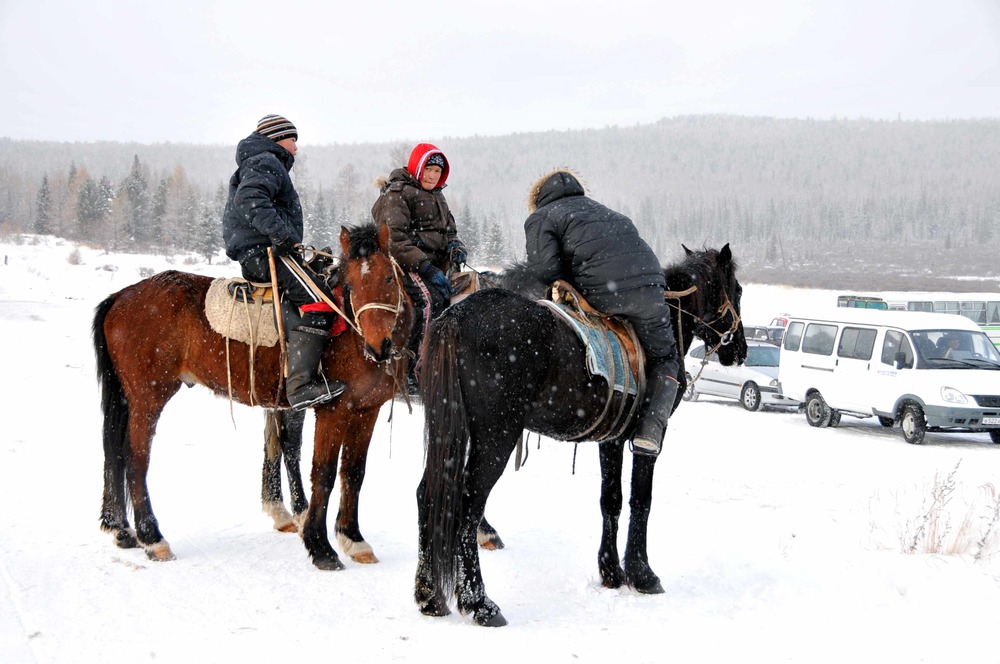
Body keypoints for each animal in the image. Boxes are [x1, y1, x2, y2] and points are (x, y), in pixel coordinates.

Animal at [90, 223, 410, 572]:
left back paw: (123, 530)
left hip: (128, 398)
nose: (379, 346)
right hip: (148, 397)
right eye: (351, 284)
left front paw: (353, 539)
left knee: (115, 453)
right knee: (136, 459)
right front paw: (320, 546)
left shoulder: (367, 410)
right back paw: (152, 537)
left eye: (389, 278)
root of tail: (120, 296)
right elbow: (322, 473)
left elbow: (353, 473)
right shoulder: (332, 410)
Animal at [410, 245, 748, 628]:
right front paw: (642, 573)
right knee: (468, 504)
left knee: (428, 494)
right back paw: (479, 601)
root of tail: (456, 316)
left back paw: (429, 594)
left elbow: (611, 500)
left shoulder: (612, 439)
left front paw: (611, 571)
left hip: (453, 429)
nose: (740, 349)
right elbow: (641, 500)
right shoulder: (647, 439)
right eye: (737, 290)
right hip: (497, 434)